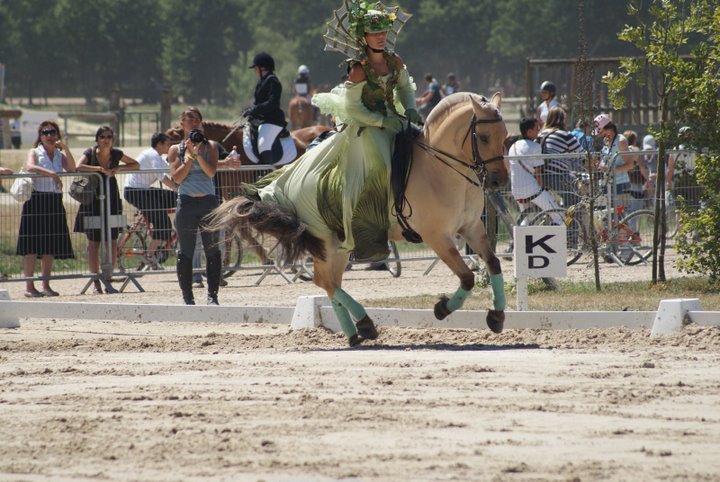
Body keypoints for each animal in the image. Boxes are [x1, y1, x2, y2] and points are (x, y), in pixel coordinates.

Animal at [208, 92, 512, 344]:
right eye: (483, 137)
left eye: (506, 136)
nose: (499, 181)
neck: (441, 169)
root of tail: (282, 183)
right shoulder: (437, 236)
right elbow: (467, 278)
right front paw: (442, 308)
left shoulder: (471, 227)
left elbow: (493, 263)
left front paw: (496, 317)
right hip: (325, 241)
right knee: (325, 281)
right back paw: (364, 324)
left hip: (341, 244)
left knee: (330, 282)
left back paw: (355, 332)